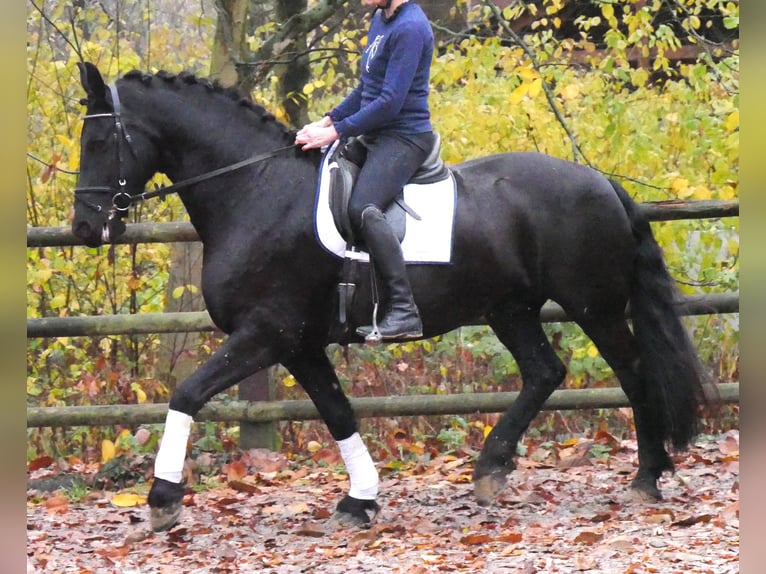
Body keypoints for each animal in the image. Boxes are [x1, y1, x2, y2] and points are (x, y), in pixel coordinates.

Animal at [71, 61, 712, 532]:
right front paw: (360, 501)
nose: (84, 229)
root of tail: (601, 181)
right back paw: (491, 469)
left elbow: (187, 393)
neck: (255, 190)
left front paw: (162, 498)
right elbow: (338, 413)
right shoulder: (299, 344)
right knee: (544, 372)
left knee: (632, 373)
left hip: (593, 306)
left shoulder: (265, 334)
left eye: (100, 139)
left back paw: (647, 477)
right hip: (510, 309)